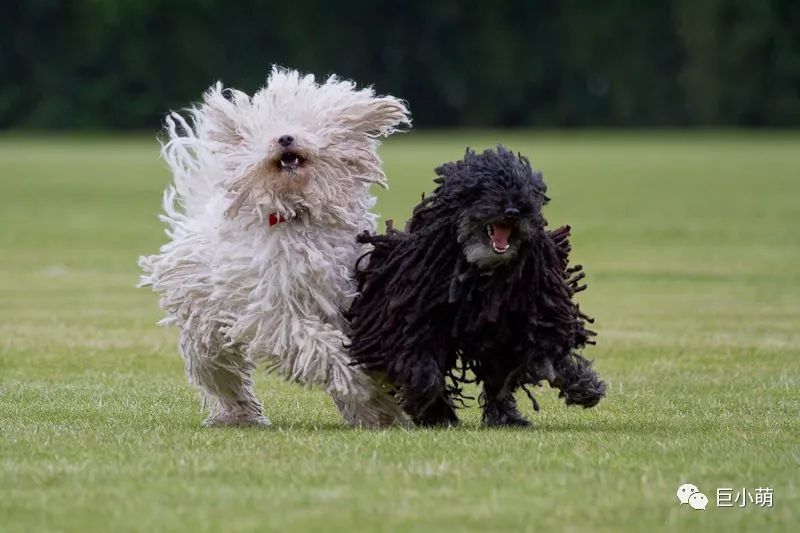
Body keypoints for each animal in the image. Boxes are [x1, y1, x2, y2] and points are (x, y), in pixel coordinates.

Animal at [138, 66, 410, 426]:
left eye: (306, 123)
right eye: (267, 129)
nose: (284, 138)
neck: (296, 214)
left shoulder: (347, 296)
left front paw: (380, 399)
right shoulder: (278, 314)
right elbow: (317, 345)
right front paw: (353, 378)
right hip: (206, 330)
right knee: (220, 373)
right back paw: (239, 413)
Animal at [346, 147, 604, 428]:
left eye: (526, 192)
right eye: (484, 189)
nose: (513, 211)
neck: (479, 275)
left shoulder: (523, 318)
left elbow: (542, 354)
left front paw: (582, 384)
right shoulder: (411, 324)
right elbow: (422, 369)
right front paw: (430, 409)